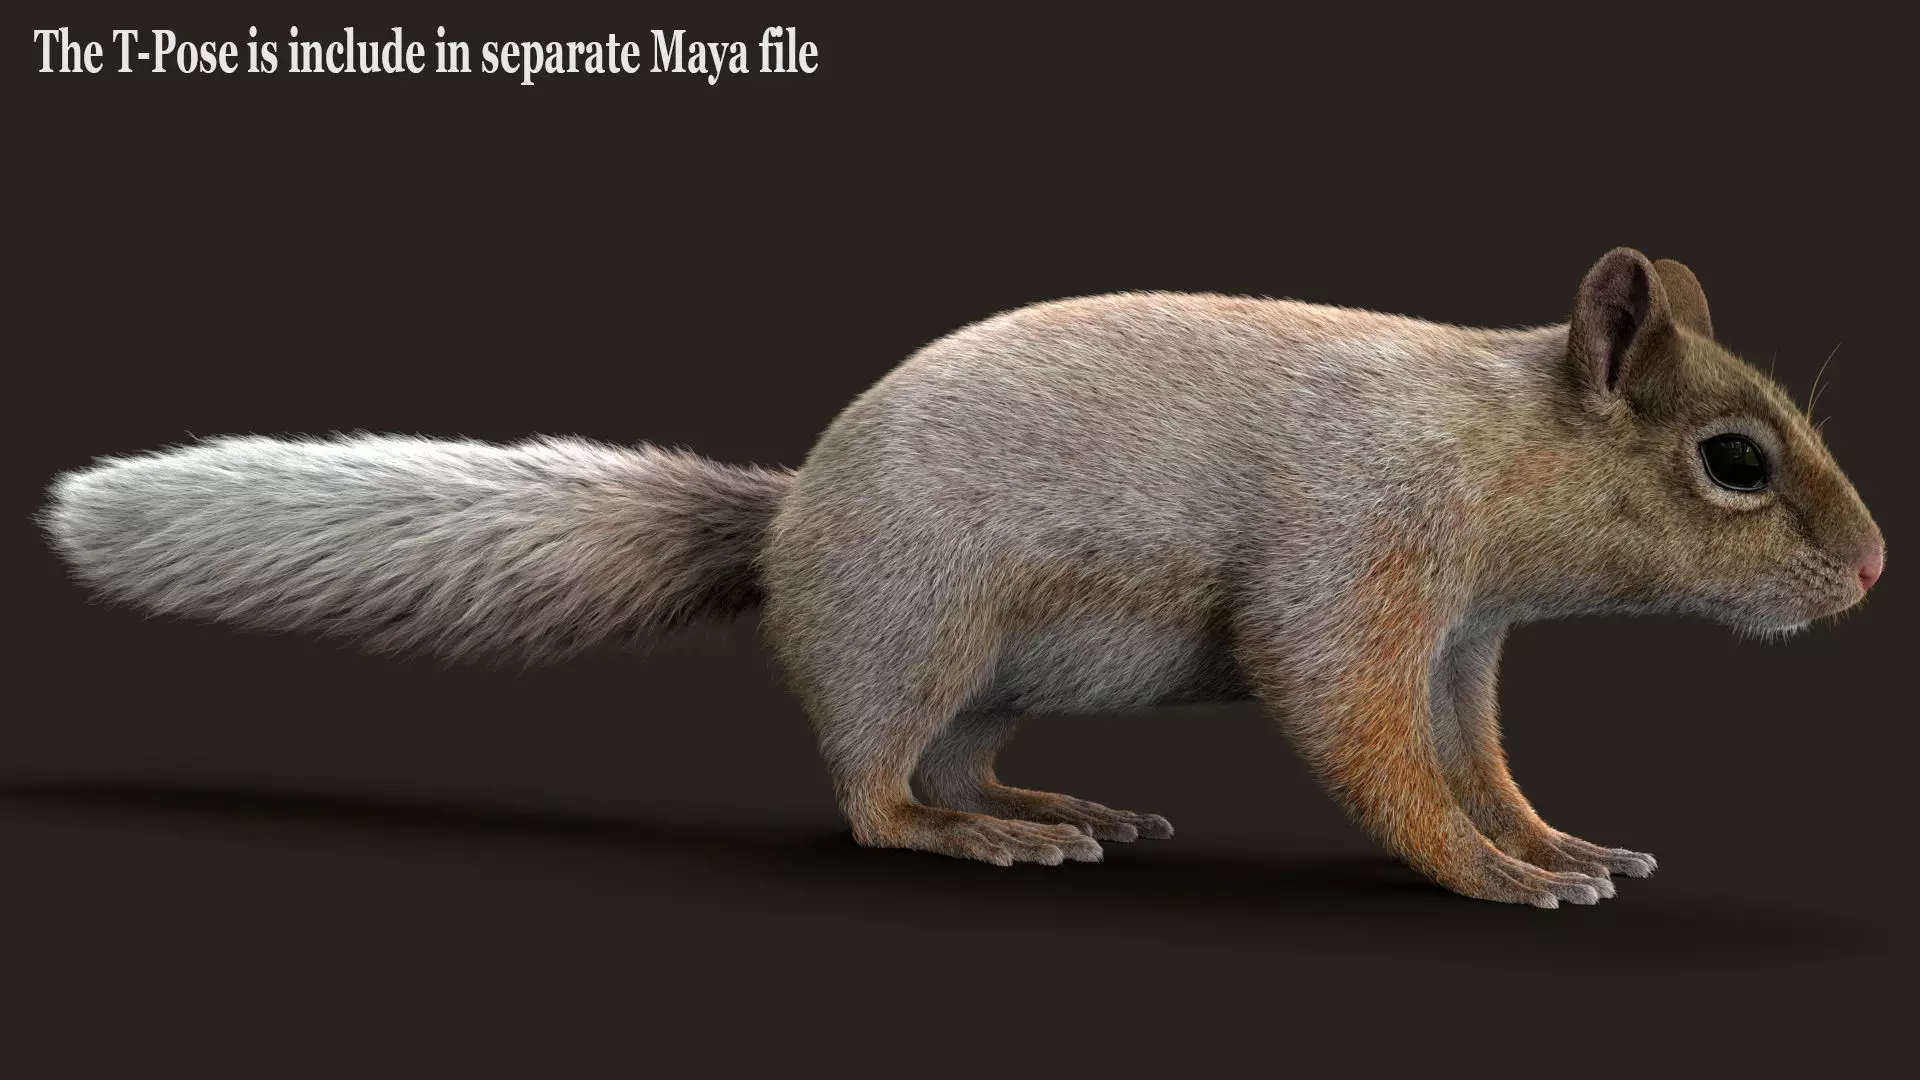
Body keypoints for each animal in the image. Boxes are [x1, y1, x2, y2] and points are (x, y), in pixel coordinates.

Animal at [42, 248, 1885, 907]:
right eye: (1737, 460)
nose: (1872, 571)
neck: (1487, 439)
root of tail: (789, 524)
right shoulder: (1355, 565)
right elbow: (1368, 743)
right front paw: (1495, 880)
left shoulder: (1465, 637)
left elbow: (1479, 761)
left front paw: (1558, 844)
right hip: (917, 631)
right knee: (876, 797)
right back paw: (984, 837)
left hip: (991, 675)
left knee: (946, 763)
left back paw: (1063, 805)